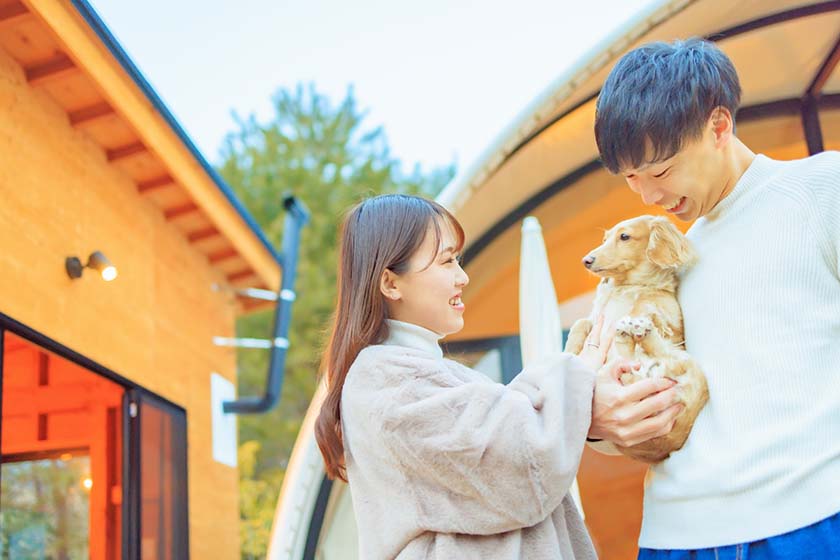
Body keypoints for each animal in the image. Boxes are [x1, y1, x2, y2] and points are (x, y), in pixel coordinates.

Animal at [564, 214, 708, 464]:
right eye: (605, 238)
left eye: (624, 236)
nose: (586, 260)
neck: (627, 286)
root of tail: (666, 447)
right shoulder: (595, 318)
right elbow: (580, 323)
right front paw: (570, 353)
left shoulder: (670, 318)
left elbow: (648, 304)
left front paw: (637, 316)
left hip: (691, 369)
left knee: (651, 353)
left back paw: (635, 329)